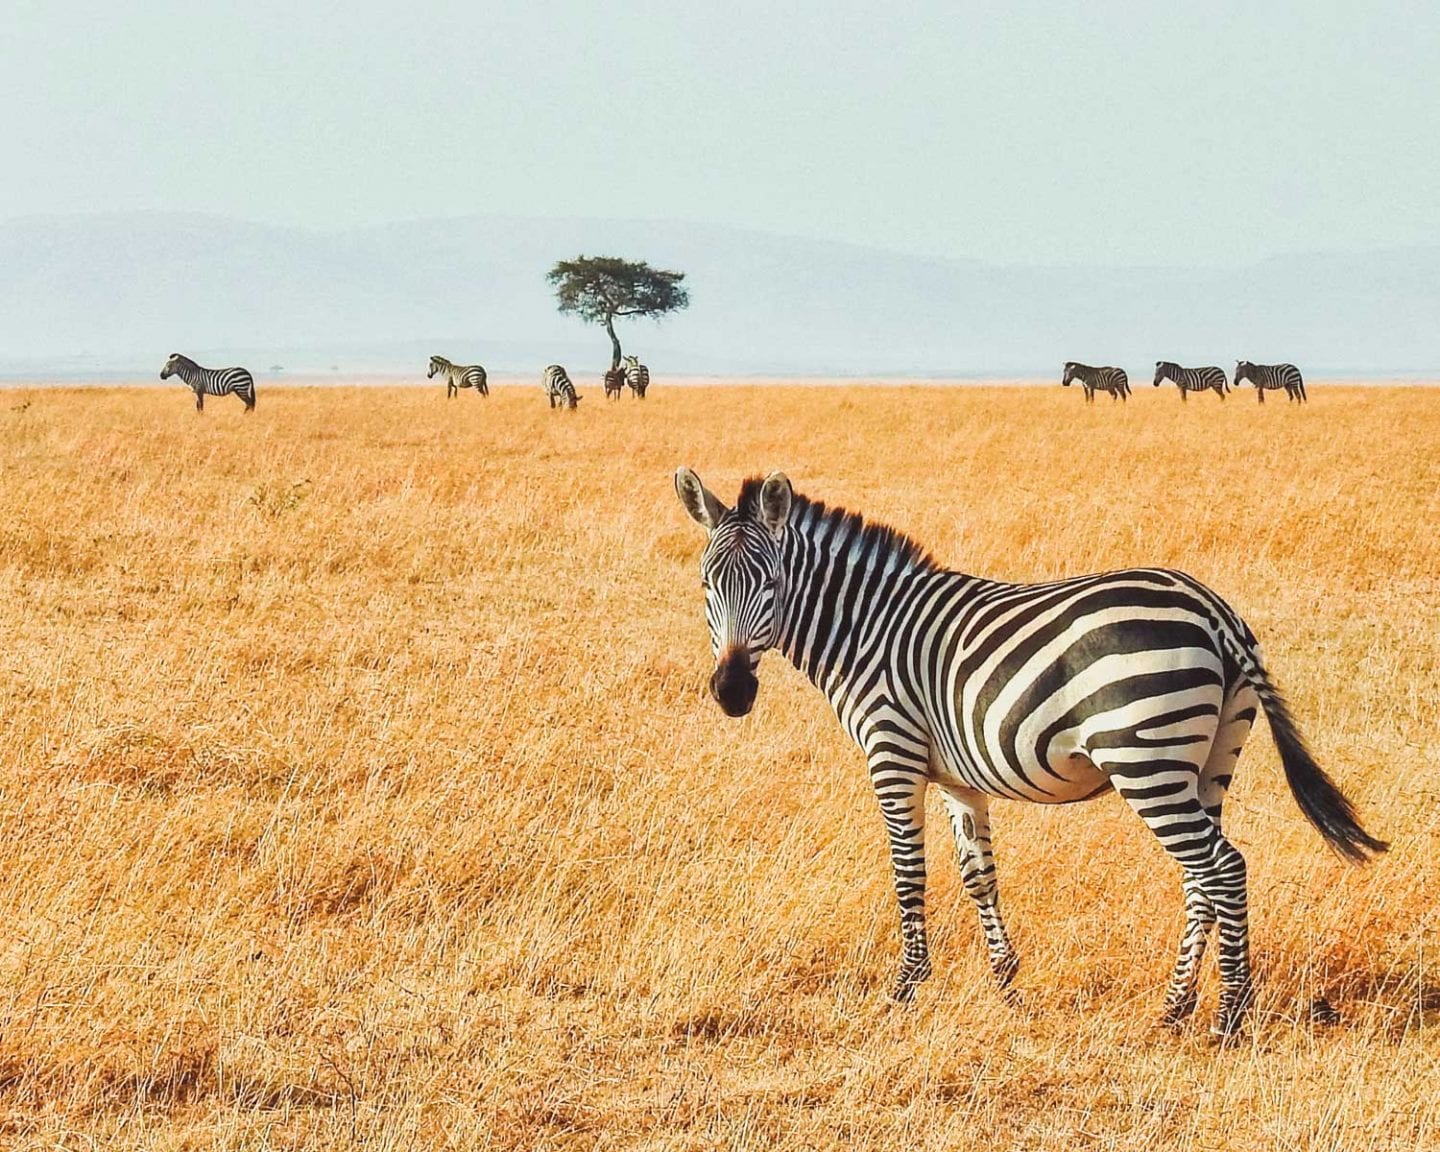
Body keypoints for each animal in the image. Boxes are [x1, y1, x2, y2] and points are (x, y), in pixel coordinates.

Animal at [671, 466, 1382, 1036]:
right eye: (706, 584)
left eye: (768, 581)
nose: (732, 692)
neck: (867, 628)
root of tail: (1214, 610)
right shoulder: (958, 776)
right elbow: (978, 874)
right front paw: (1005, 982)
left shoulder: (892, 751)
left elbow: (908, 873)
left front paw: (906, 989)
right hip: (1209, 762)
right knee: (1202, 876)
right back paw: (1175, 1008)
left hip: (1145, 756)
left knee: (1224, 868)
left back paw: (1228, 1017)